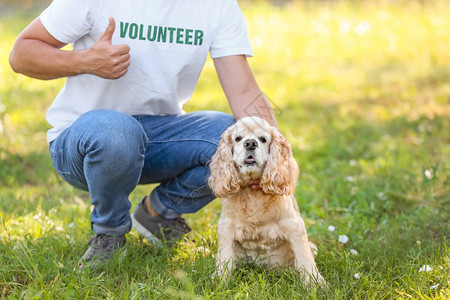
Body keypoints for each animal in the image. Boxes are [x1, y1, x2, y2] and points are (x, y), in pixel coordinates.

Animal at [207, 116, 324, 284]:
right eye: (238, 138)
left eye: (263, 139)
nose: (250, 143)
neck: (253, 193)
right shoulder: (226, 226)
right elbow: (224, 257)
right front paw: (220, 280)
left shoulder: (294, 225)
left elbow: (304, 257)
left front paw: (315, 283)